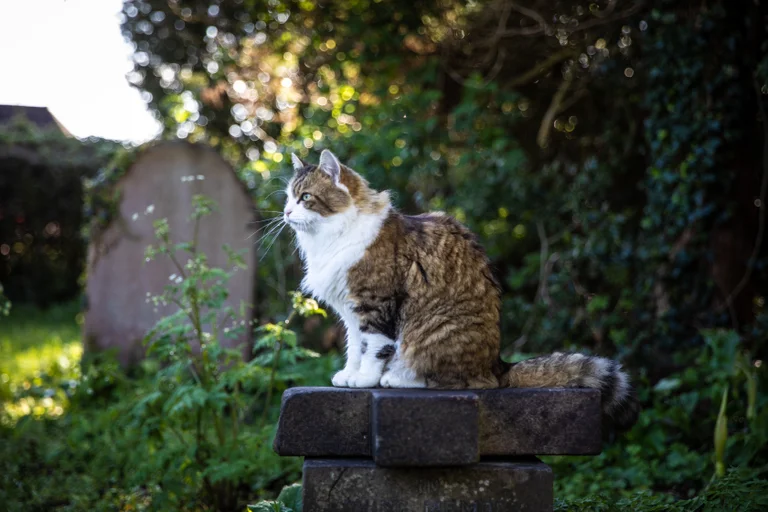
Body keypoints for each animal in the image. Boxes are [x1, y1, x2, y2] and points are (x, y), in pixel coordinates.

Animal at [284, 150, 640, 430]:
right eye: (287, 197)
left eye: (305, 198)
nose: (286, 212)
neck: (331, 238)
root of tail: (498, 364)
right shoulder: (350, 311)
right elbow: (354, 348)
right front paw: (349, 374)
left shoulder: (375, 304)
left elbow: (372, 348)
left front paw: (365, 378)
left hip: (429, 332)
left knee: (448, 377)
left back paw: (397, 377)